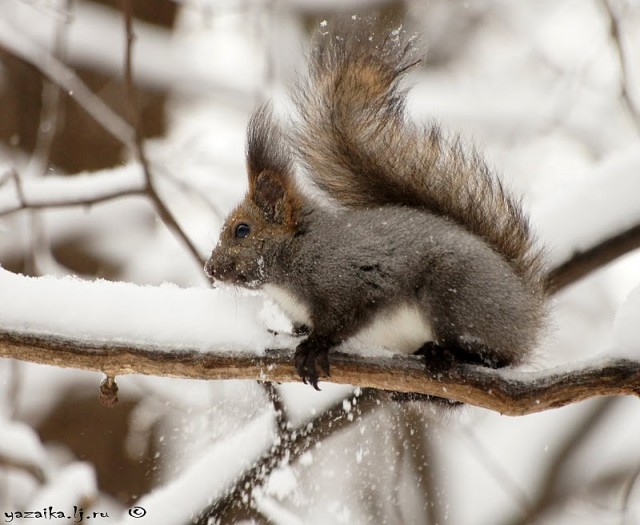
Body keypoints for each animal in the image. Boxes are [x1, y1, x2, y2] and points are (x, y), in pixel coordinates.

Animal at [204, 19, 544, 388]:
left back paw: (445, 355)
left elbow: (345, 318)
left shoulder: (352, 280)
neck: (298, 251)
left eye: (242, 230)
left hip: (454, 296)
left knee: (496, 355)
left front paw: (314, 347)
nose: (210, 269)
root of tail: (528, 314)